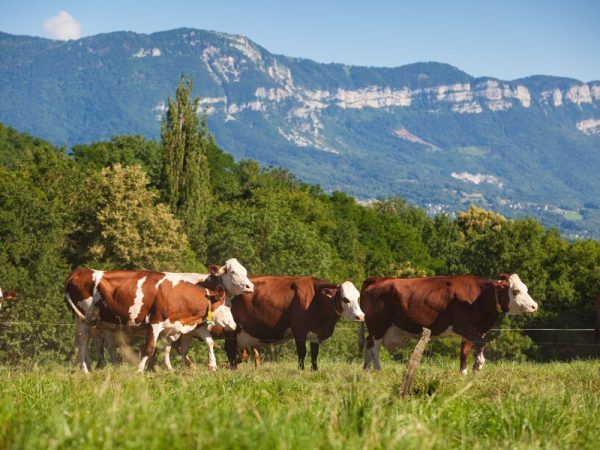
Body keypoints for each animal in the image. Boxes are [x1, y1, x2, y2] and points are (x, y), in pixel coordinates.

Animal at [64, 258, 254, 370]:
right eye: (233, 271)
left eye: (245, 271)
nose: (250, 286)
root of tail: (78, 272)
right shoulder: (160, 324)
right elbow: (161, 347)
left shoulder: (190, 324)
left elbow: (205, 342)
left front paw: (210, 366)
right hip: (85, 319)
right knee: (84, 341)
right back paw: (86, 368)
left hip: (99, 322)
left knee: (98, 343)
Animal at [225, 276, 366, 370]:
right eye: (345, 299)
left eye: (358, 297)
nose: (360, 316)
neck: (315, 299)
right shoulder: (299, 330)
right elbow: (302, 352)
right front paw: (301, 369)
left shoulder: (315, 334)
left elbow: (315, 354)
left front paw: (315, 369)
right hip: (232, 331)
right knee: (230, 351)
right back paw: (233, 369)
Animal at [358, 274, 536, 372]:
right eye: (516, 291)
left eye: (526, 289)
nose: (535, 306)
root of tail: (378, 279)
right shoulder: (464, 327)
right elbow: (481, 343)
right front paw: (478, 365)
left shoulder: (473, 330)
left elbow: (465, 352)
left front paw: (464, 374)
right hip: (378, 326)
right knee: (374, 349)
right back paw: (378, 370)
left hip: (380, 328)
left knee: (368, 345)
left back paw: (366, 370)